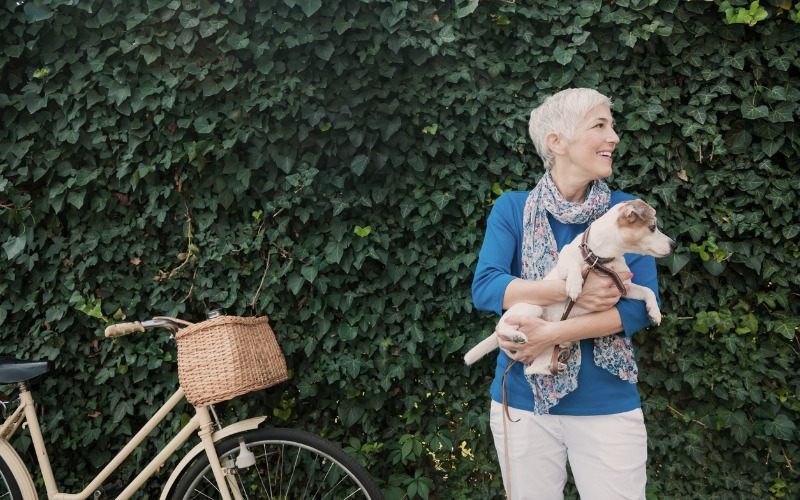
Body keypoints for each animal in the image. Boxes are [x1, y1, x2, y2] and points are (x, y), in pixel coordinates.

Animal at [462, 199, 676, 376]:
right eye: (653, 227)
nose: (674, 244)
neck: (599, 259)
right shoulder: (565, 264)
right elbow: (572, 265)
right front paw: (574, 286)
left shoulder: (623, 288)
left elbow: (648, 291)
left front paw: (654, 312)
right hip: (532, 308)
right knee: (502, 326)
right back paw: (516, 334)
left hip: (548, 346)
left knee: (531, 369)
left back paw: (551, 367)